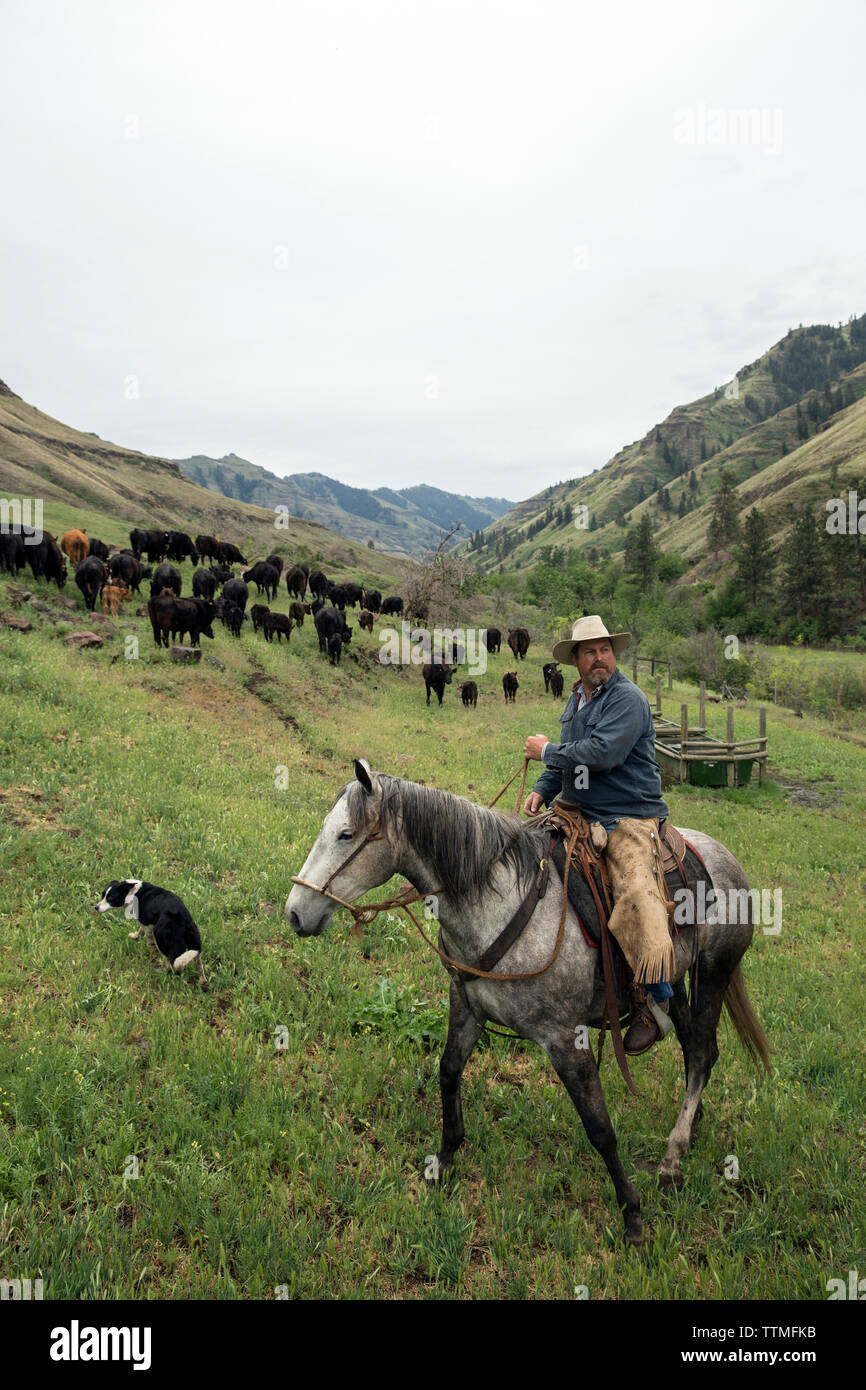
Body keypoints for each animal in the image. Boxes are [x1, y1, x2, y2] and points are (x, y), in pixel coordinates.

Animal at [286, 761, 772, 1251]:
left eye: (346, 834)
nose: (294, 912)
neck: (495, 904)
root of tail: (727, 859)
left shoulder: (565, 1038)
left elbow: (600, 1128)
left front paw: (632, 1216)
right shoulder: (467, 1008)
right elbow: (448, 1072)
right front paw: (444, 1160)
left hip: (714, 974)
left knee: (702, 1054)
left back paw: (672, 1158)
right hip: (675, 981)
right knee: (695, 1049)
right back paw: (689, 1128)